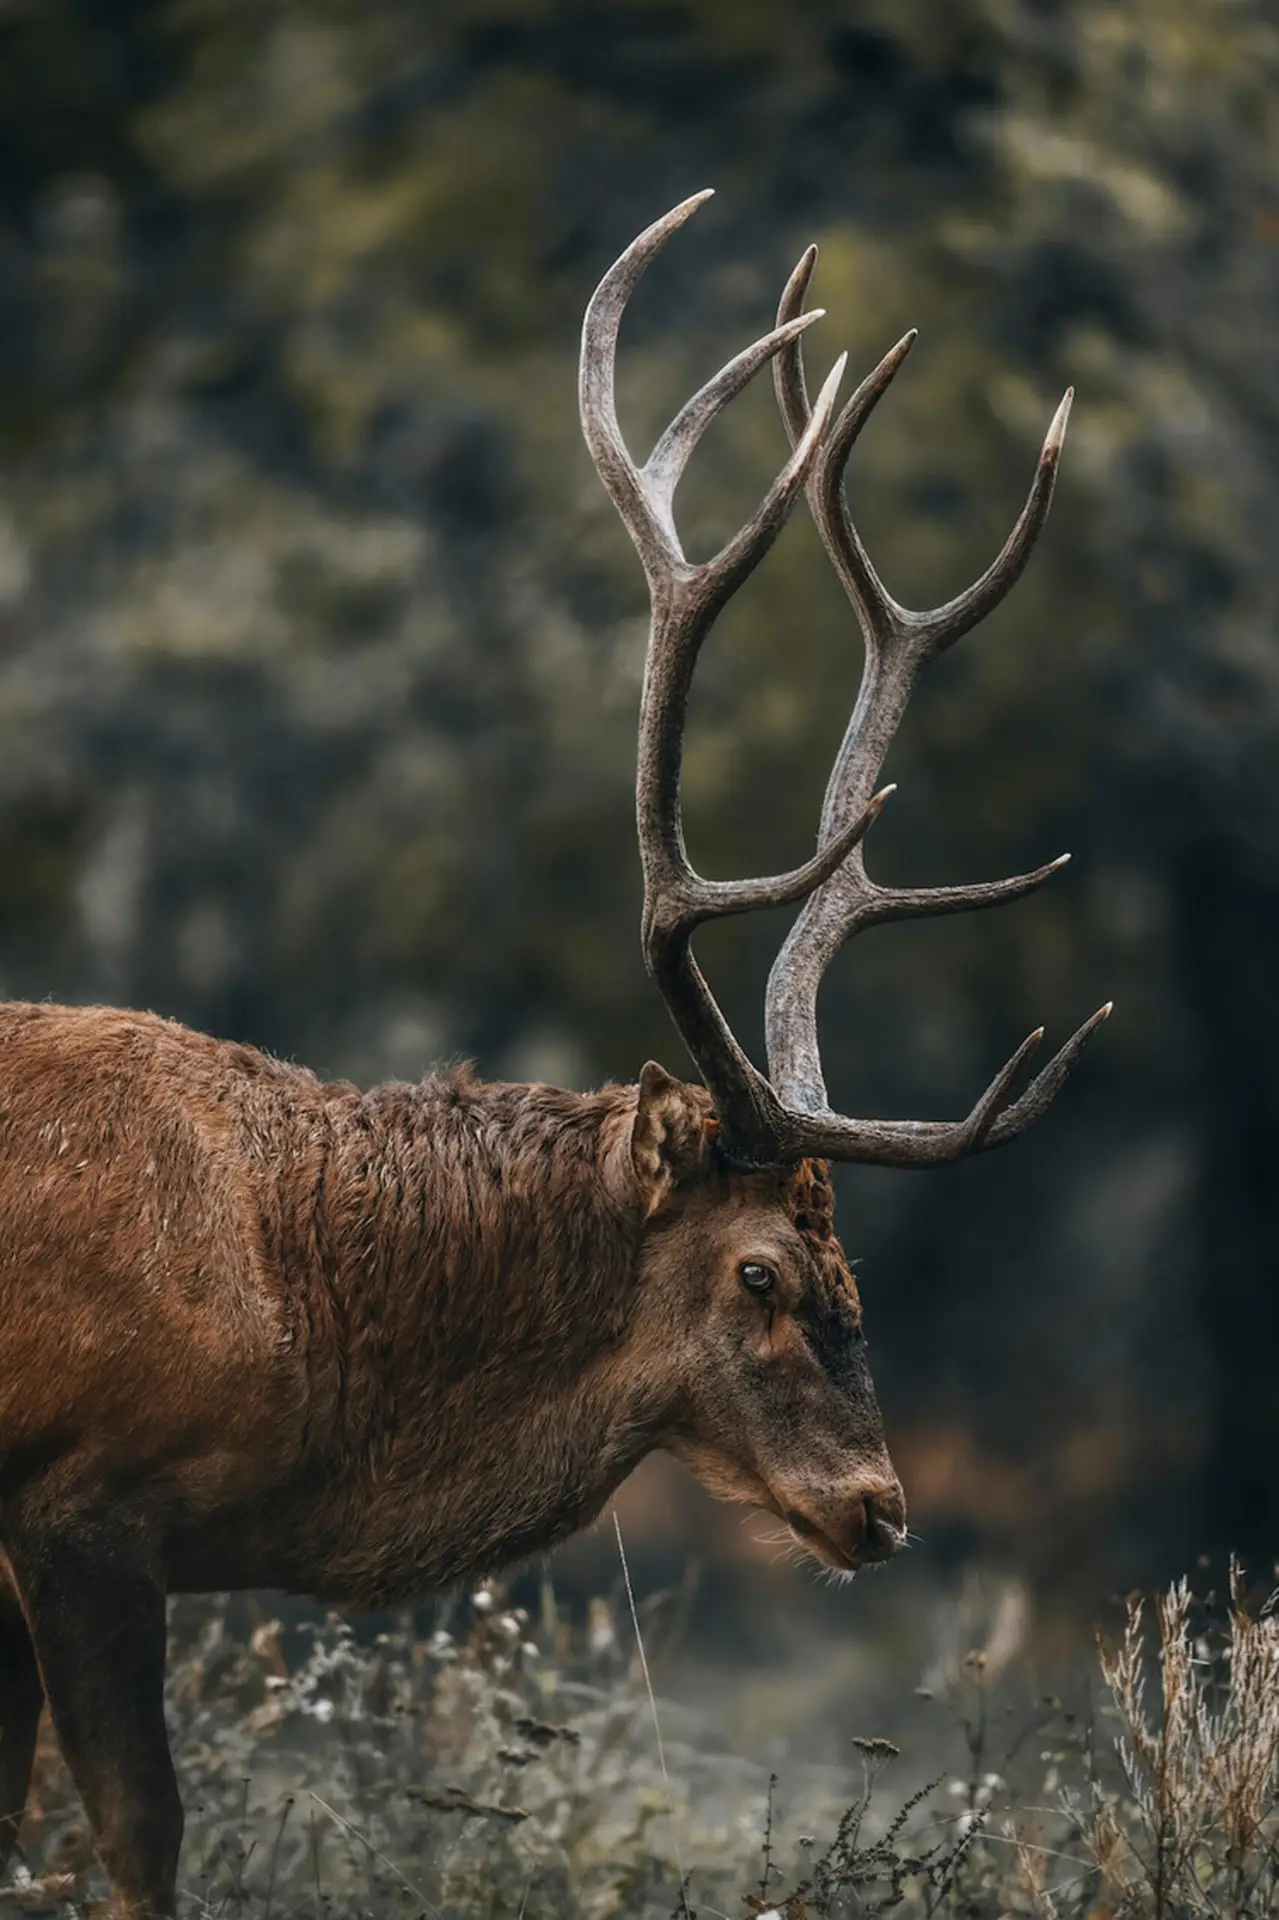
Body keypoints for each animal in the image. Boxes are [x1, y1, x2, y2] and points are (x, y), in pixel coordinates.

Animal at [0, 191, 1108, 1918]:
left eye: (846, 1260)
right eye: (758, 1271)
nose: (878, 1508)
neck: (285, 1325)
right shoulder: (75, 1505)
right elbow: (135, 1829)